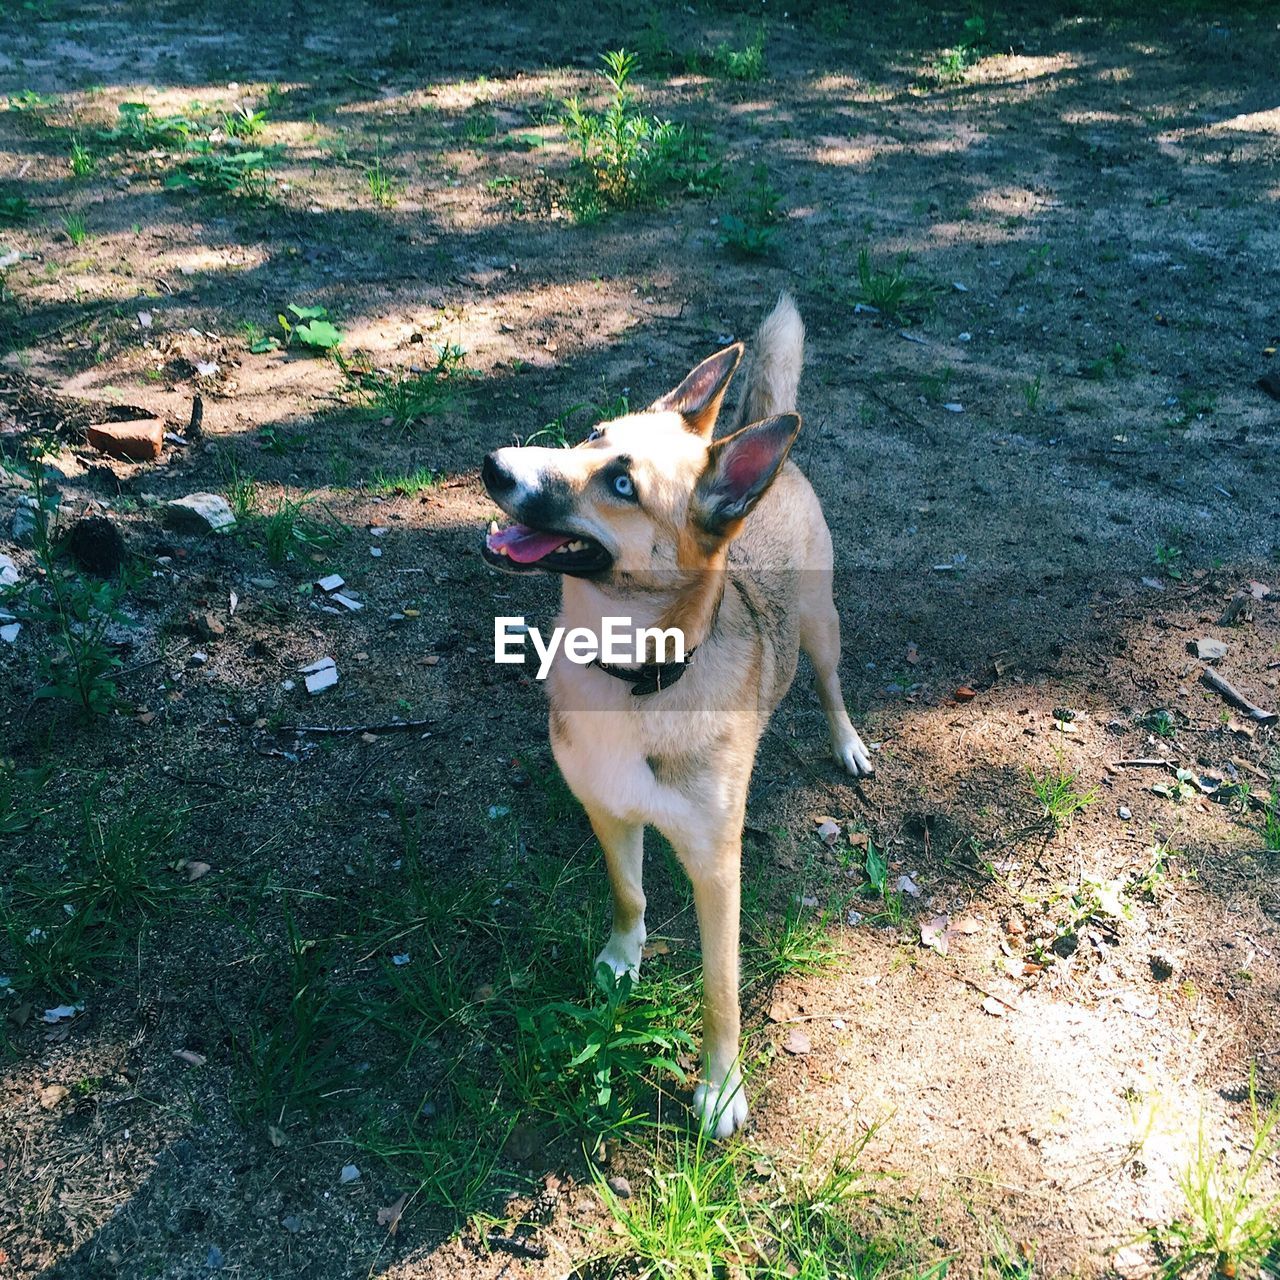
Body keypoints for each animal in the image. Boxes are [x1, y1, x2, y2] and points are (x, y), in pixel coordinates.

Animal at [481, 294, 870, 1136]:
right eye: (592, 436)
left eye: (623, 485)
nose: (495, 465)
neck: (635, 678)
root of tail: (760, 442)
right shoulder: (608, 810)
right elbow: (629, 894)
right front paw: (621, 961)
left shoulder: (717, 869)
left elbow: (722, 992)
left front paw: (721, 1089)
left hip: (821, 626)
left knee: (830, 685)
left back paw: (849, 742)